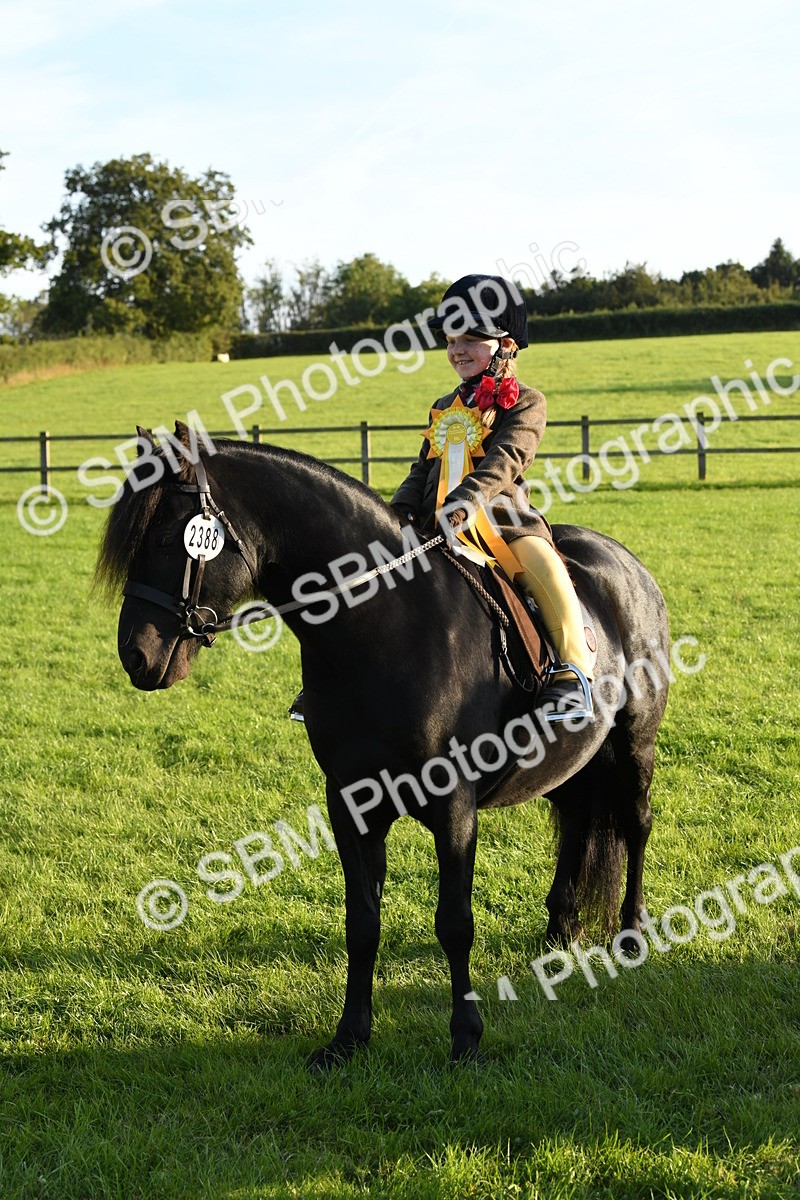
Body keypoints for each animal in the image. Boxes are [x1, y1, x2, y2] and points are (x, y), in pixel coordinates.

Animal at [95, 423, 670, 1070]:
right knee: (575, 822)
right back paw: (560, 930)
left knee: (636, 823)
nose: (134, 655)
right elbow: (362, 922)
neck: (386, 626)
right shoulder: (351, 804)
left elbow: (455, 922)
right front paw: (349, 1037)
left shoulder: (454, 806)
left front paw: (465, 1037)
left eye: (168, 535)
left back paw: (632, 933)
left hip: (635, 743)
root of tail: (624, 562)